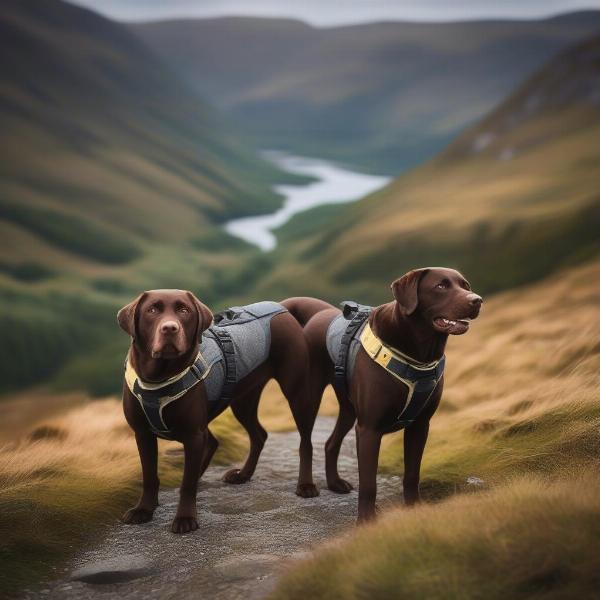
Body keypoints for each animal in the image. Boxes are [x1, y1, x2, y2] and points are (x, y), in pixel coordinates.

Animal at [116, 290, 318, 536]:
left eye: (184, 310)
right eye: (152, 310)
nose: (170, 328)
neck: (158, 378)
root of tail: (281, 307)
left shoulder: (193, 435)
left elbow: (187, 483)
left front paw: (185, 518)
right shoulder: (143, 434)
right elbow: (149, 475)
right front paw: (144, 509)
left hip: (296, 392)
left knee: (305, 441)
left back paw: (306, 485)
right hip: (242, 401)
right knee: (255, 435)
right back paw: (242, 475)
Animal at [282, 270, 482, 524]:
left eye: (465, 285)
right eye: (441, 286)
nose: (477, 300)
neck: (418, 355)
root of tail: (320, 314)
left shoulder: (420, 426)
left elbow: (412, 474)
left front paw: (414, 509)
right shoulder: (369, 429)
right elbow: (369, 484)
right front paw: (366, 521)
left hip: (349, 409)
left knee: (330, 443)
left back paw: (335, 483)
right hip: (309, 397)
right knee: (306, 443)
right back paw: (306, 486)